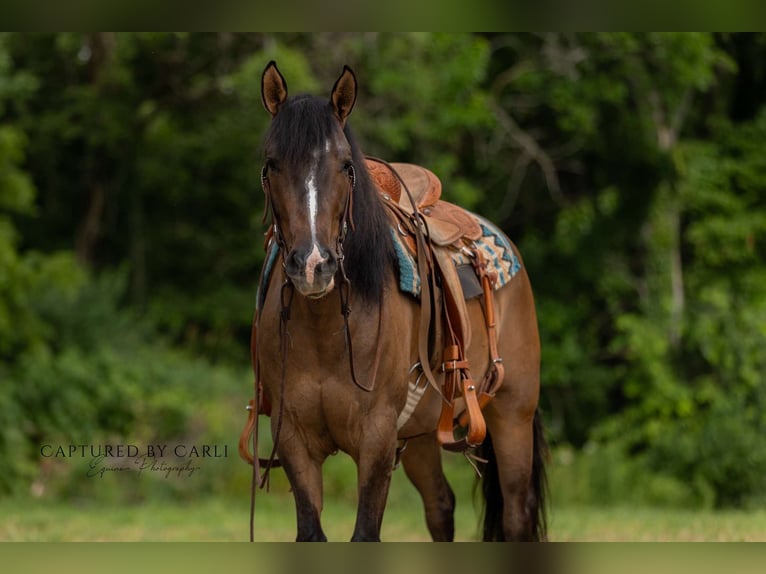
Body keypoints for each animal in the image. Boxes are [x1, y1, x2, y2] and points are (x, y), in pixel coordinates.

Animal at [246, 61, 547, 542]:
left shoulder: (378, 438)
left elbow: (365, 532)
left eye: (345, 165)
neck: (327, 331)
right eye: (272, 164)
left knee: (516, 516)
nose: (313, 265)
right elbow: (311, 531)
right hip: (423, 436)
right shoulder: (293, 438)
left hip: (512, 416)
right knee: (441, 508)